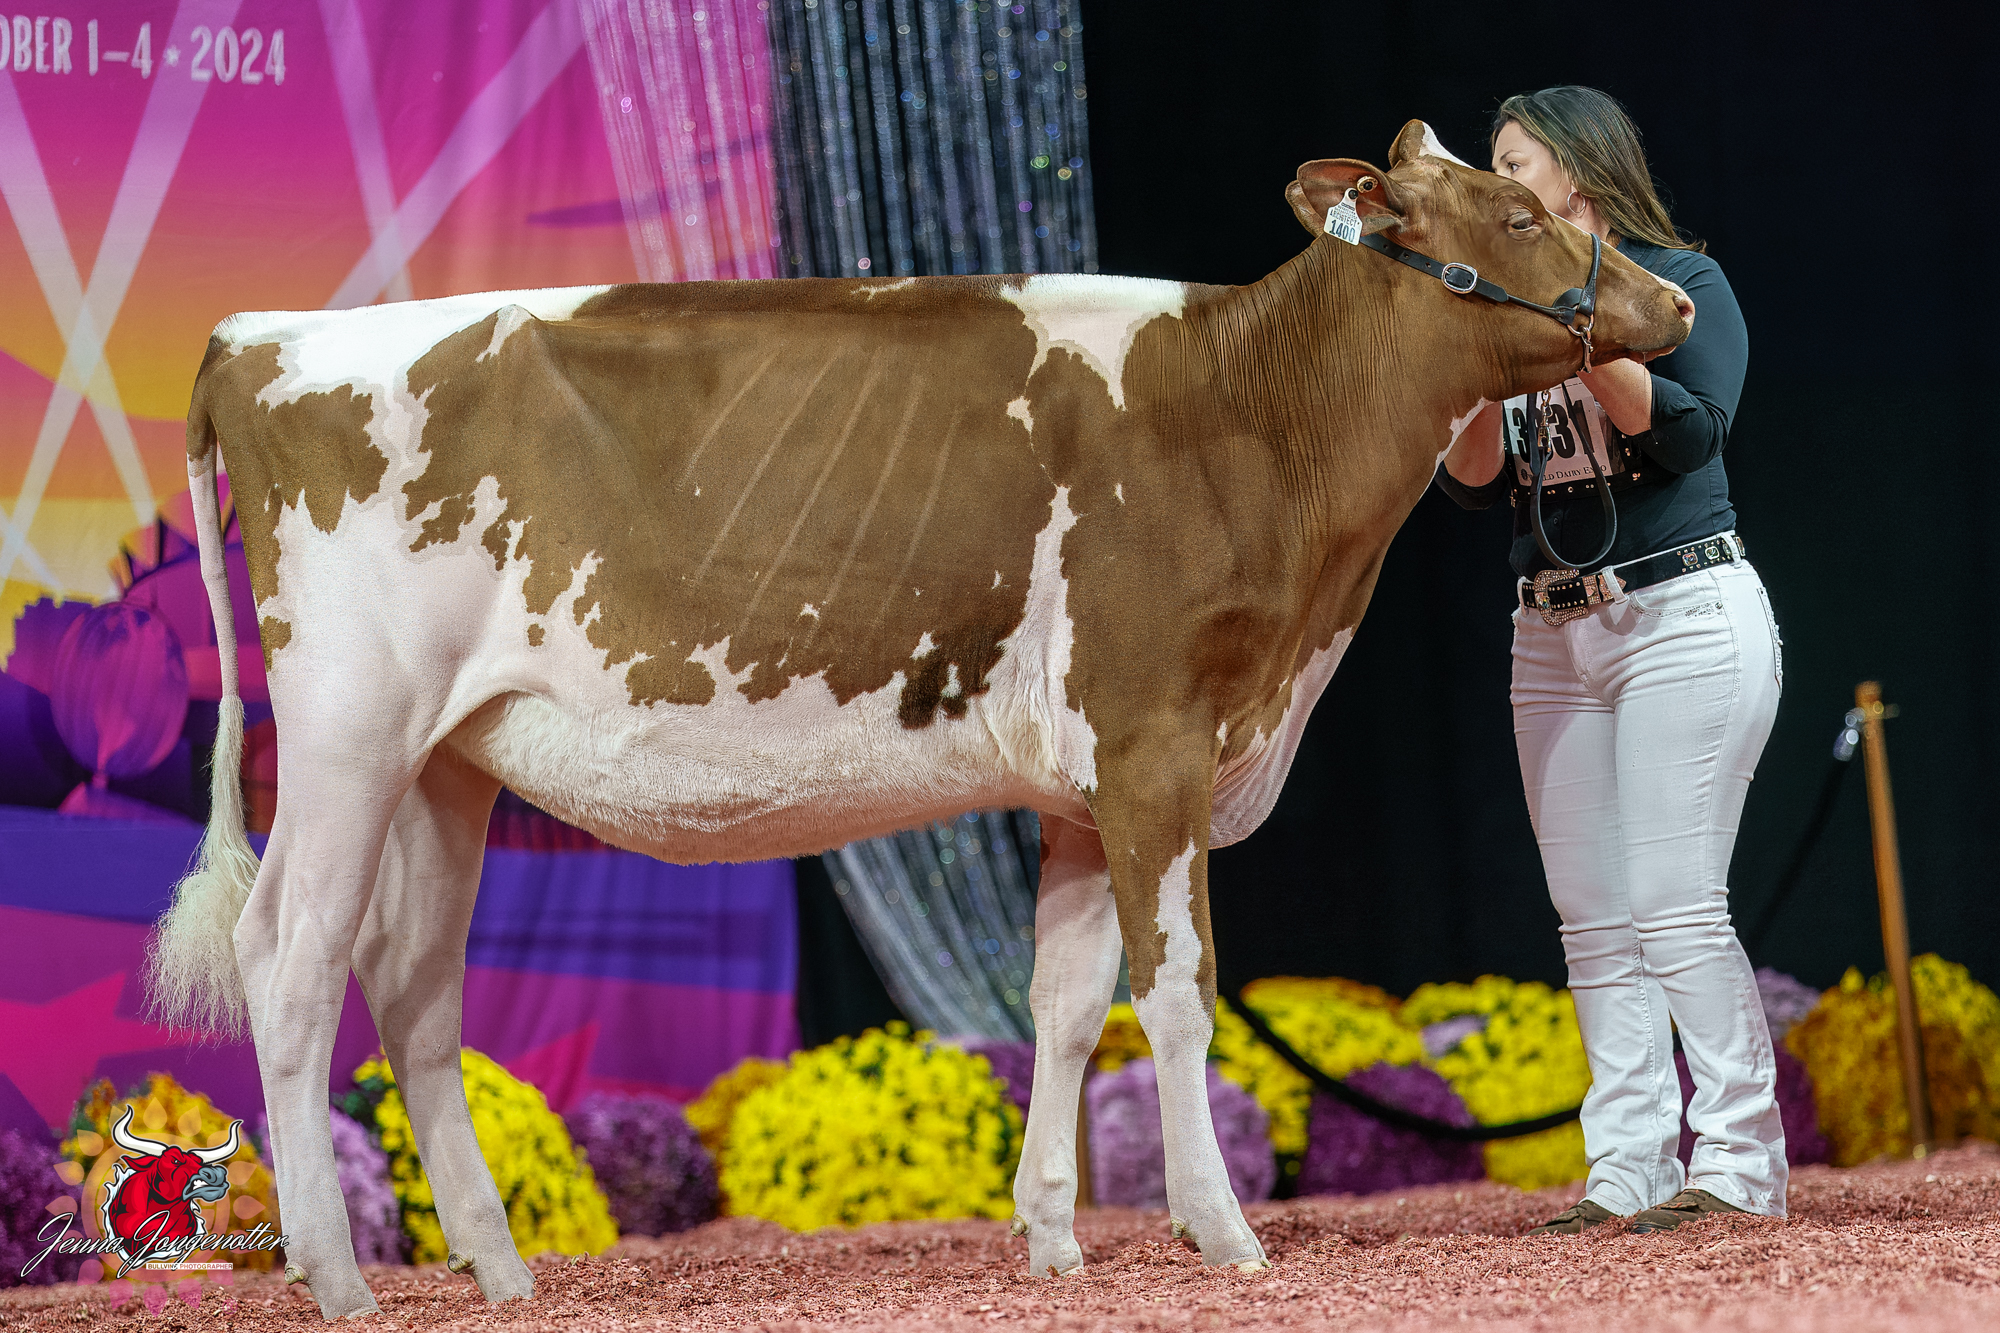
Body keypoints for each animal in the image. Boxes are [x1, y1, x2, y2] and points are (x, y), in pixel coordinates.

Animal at [146, 120, 1690, 1318]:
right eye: (1514, 215)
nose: (1673, 311)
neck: (1247, 420)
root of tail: (260, 335)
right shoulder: (1156, 741)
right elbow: (1175, 991)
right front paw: (1220, 1229)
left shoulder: (1085, 787)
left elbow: (1065, 1003)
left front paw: (1053, 1236)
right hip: (348, 733)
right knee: (292, 959)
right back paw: (338, 1276)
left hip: (447, 761)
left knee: (412, 986)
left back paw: (499, 1268)